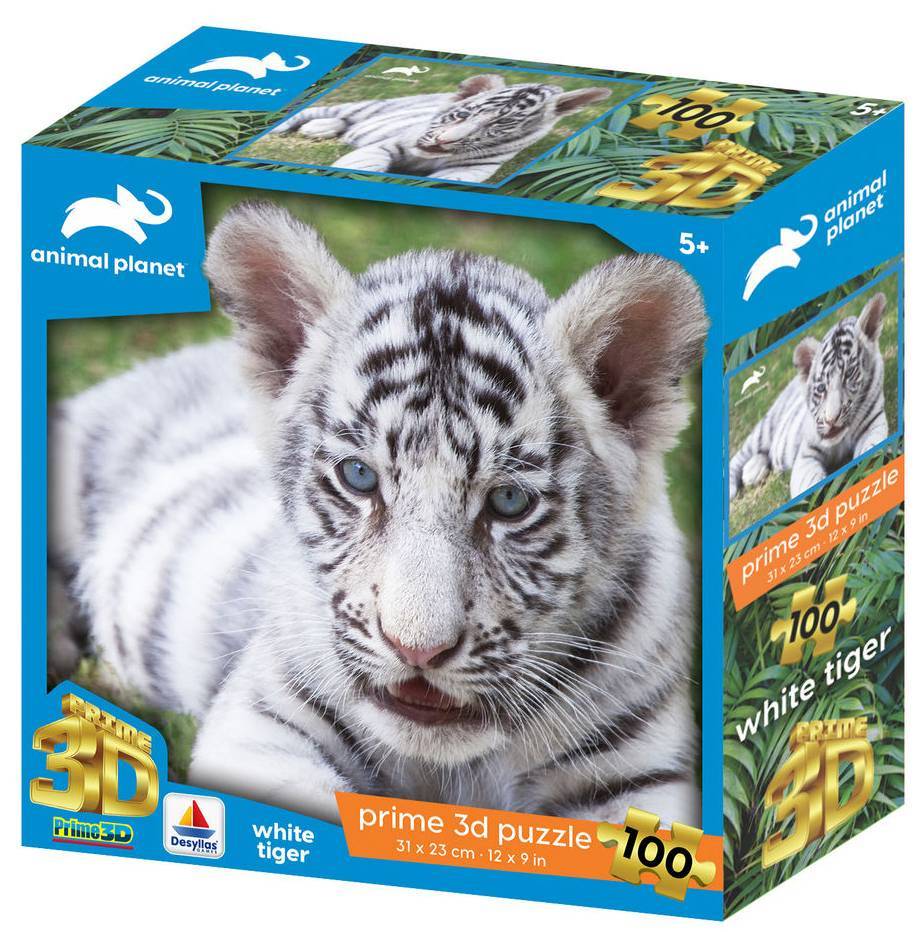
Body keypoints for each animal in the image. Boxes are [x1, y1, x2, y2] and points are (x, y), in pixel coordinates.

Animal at [272, 73, 612, 183]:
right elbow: (365, 162)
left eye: (501, 124)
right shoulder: (390, 145)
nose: (442, 143)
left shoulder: (467, 173)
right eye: (461, 114)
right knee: (315, 111)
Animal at [729, 292, 889, 504]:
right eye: (821, 388)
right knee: (739, 457)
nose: (831, 420)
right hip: (764, 429)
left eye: (849, 375)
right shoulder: (806, 454)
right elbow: (810, 485)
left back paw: (752, 471)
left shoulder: (872, 426)